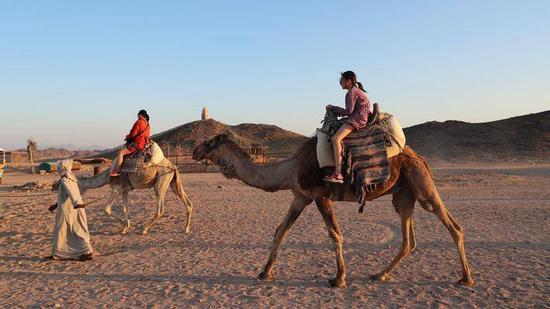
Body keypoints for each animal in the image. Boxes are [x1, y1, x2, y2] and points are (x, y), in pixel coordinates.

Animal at [193, 134, 474, 288]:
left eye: (210, 141)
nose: (195, 150)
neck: (291, 168)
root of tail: (420, 158)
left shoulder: (320, 195)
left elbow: (334, 235)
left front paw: (339, 278)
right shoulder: (300, 197)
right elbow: (280, 231)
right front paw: (265, 272)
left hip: (422, 185)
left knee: (454, 227)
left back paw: (466, 278)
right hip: (403, 196)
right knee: (408, 241)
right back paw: (379, 274)